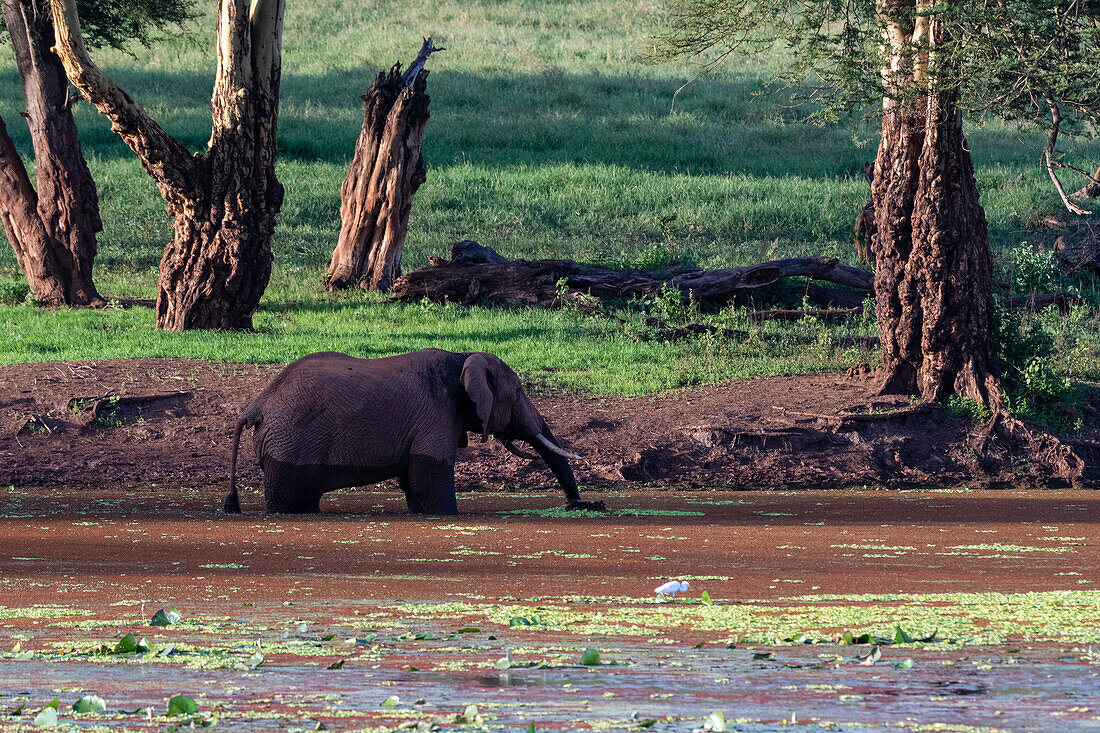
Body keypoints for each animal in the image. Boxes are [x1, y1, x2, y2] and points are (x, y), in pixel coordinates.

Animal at [221, 347, 602, 512]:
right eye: (520, 391)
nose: (581, 505)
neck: (462, 359)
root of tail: (256, 405)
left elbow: (413, 482)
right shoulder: (436, 414)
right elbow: (428, 480)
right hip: (289, 443)